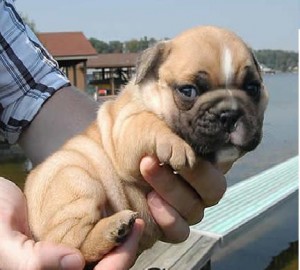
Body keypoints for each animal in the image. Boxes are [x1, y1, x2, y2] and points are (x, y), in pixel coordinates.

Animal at [24, 26, 268, 262]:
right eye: (188, 91)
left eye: (253, 88)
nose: (230, 114)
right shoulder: (125, 130)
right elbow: (148, 123)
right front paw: (175, 145)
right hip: (76, 178)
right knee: (73, 246)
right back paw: (113, 228)